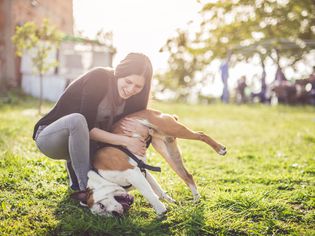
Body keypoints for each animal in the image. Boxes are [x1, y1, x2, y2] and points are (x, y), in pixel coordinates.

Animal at [73, 109, 227, 218]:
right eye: (104, 214)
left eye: (101, 206)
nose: (115, 214)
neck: (101, 177)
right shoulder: (144, 173)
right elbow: (158, 191)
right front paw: (170, 201)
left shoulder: (133, 173)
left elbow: (149, 193)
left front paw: (161, 211)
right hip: (170, 154)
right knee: (187, 176)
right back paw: (196, 199)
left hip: (171, 127)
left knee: (201, 134)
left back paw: (220, 149)